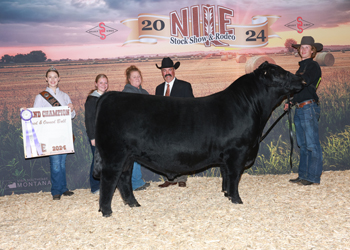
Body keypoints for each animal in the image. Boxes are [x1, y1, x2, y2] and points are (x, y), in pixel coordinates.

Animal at [93, 62, 304, 217]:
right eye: (282, 74)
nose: (301, 80)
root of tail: (109, 96)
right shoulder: (238, 151)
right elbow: (234, 176)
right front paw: (237, 200)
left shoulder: (227, 155)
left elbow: (226, 176)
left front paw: (227, 195)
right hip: (114, 154)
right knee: (109, 179)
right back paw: (106, 211)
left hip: (128, 157)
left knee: (124, 178)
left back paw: (133, 204)